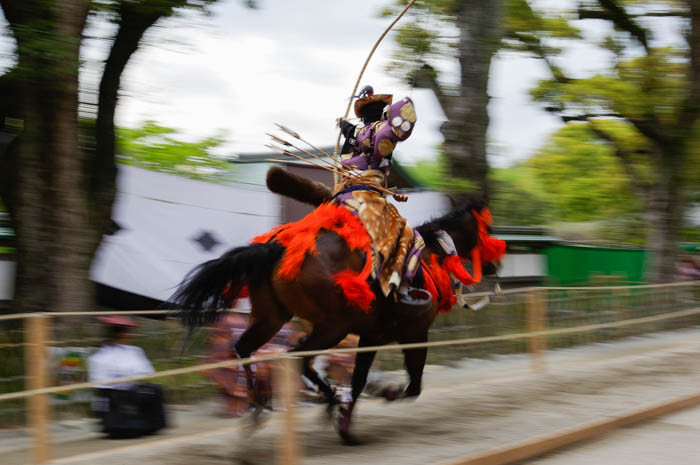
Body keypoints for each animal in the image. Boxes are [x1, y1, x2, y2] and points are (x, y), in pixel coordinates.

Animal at [174, 197, 504, 442]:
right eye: (487, 228)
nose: (495, 264)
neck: (429, 258)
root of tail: (278, 248)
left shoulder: (372, 335)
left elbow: (358, 380)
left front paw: (348, 420)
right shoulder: (414, 333)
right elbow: (412, 386)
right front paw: (384, 393)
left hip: (273, 317)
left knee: (247, 348)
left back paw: (263, 406)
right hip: (332, 327)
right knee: (297, 356)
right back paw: (314, 400)